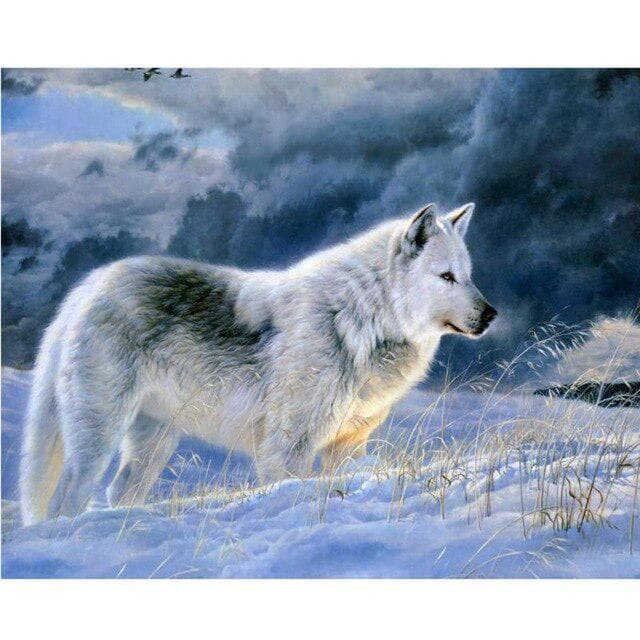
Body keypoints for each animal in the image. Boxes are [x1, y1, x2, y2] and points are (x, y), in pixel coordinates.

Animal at [20, 202, 496, 525]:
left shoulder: (348, 445)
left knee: (120, 493)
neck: (359, 318)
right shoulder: (286, 449)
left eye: (469, 275)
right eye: (446, 277)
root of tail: (88, 286)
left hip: (153, 443)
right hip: (98, 436)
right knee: (66, 500)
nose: (491, 315)